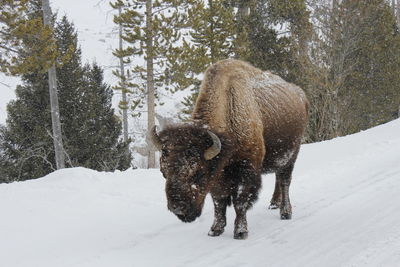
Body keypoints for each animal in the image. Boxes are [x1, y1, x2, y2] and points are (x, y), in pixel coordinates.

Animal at [150, 59, 310, 240]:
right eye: (163, 172)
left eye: (198, 173)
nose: (177, 208)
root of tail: (301, 95)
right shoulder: (219, 175)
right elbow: (218, 201)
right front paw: (215, 230)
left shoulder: (247, 170)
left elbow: (240, 202)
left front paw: (240, 231)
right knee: (278, 178)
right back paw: (274, 204)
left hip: (292, 155)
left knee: (284, 181)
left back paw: (285, 212)